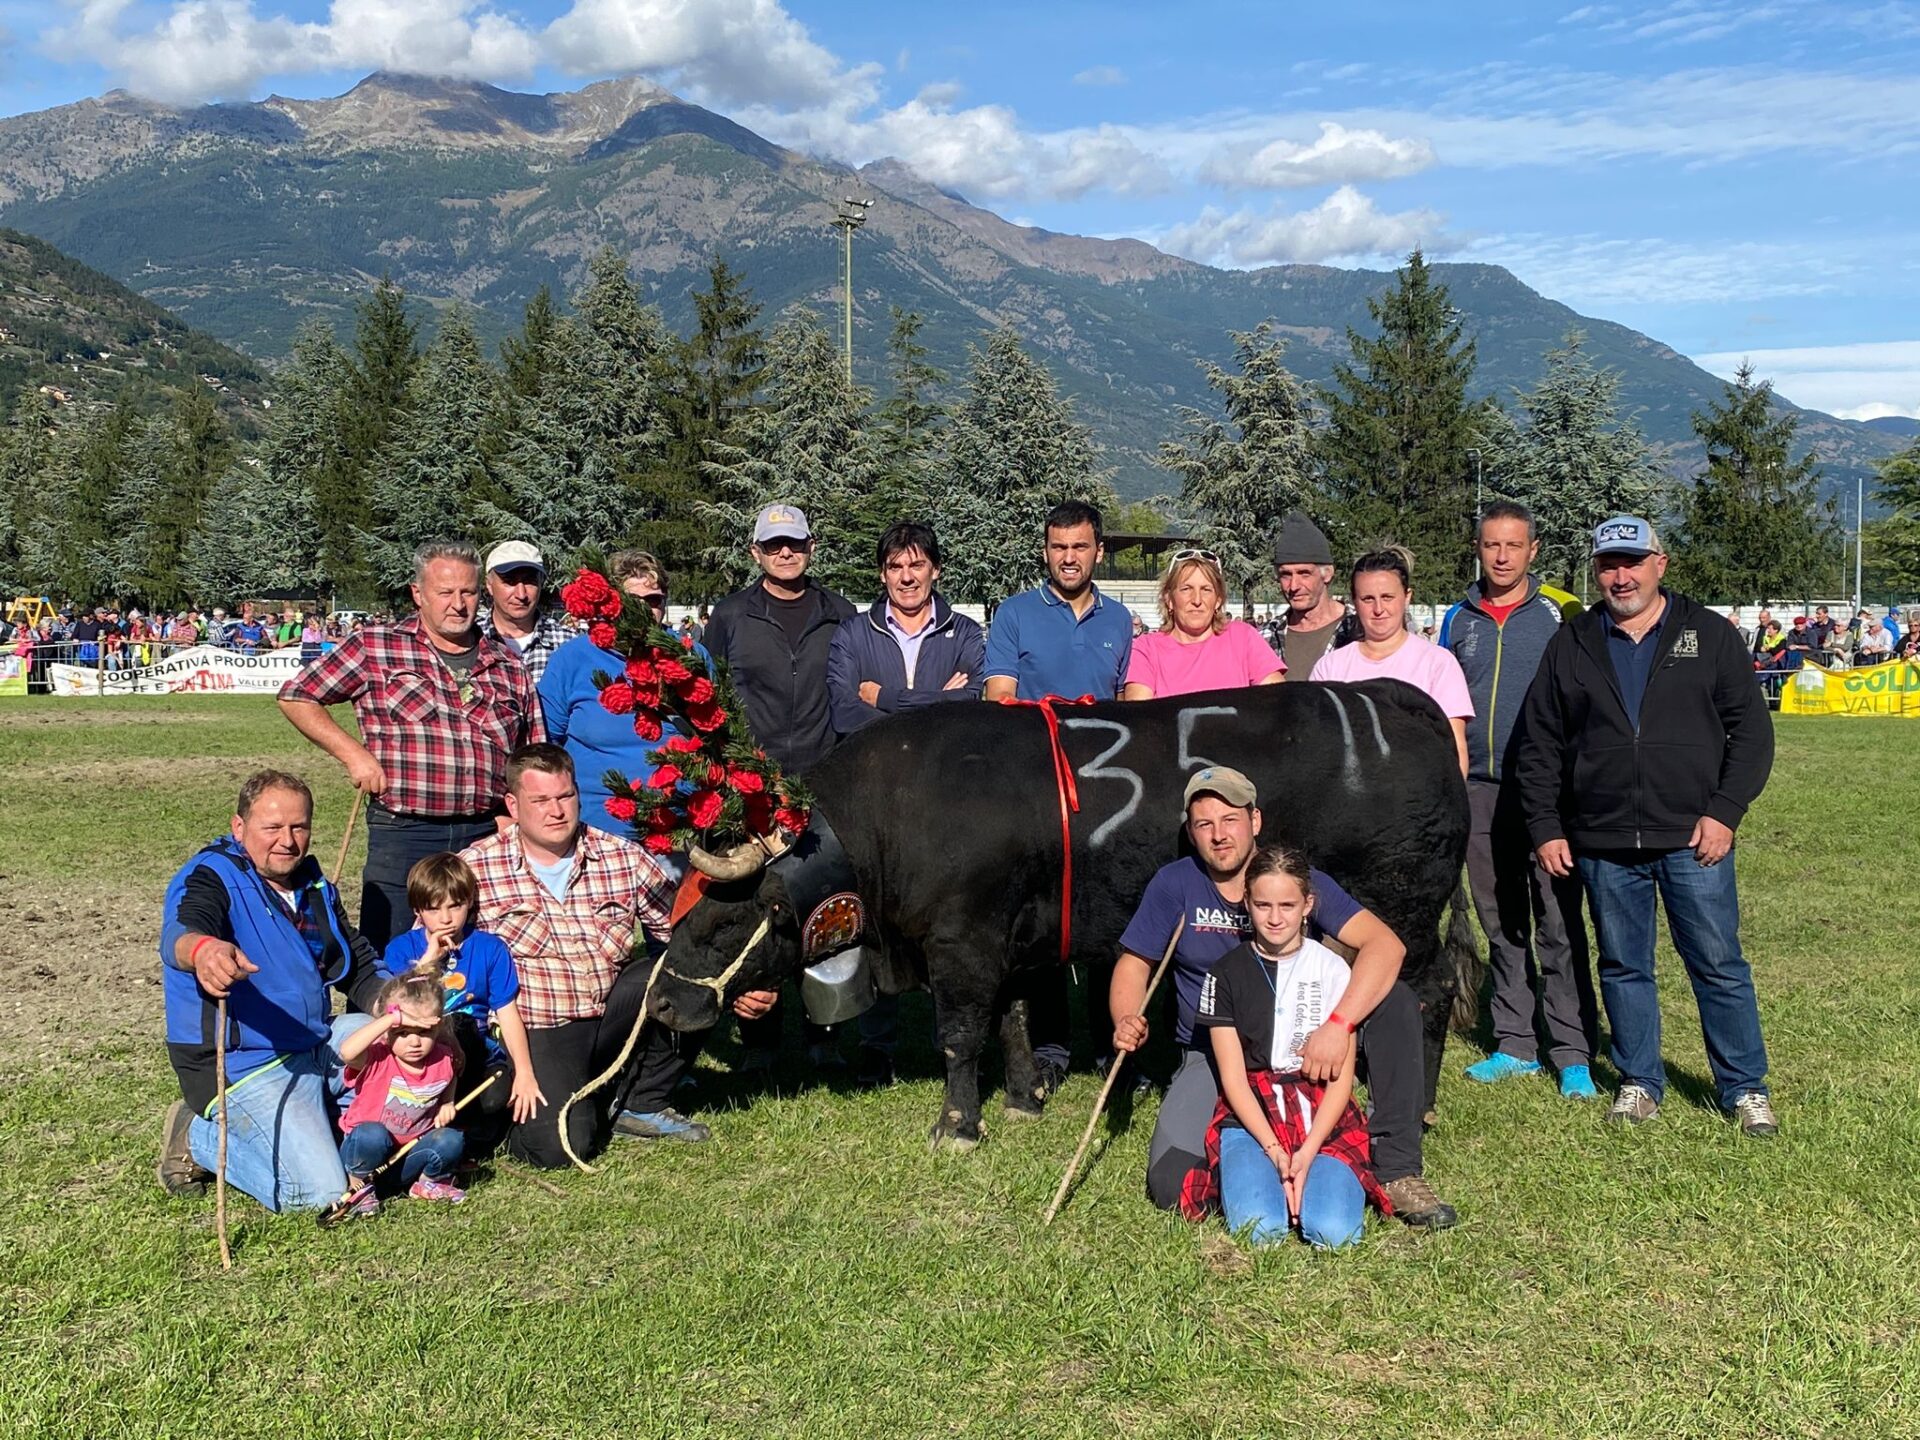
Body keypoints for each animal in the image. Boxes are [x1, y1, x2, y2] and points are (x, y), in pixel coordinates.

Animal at [652, 683, 1474, 1152]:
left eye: (722, 925)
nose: (659, 1002)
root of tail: (1391, 696)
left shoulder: (962, 944)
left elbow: (960, 1036)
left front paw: (956, 1126)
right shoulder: (1012, 941)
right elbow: (1014, 1021)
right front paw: (1021, 1100)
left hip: (1400, 914)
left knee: (1424, 996)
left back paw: (1418, 1105)